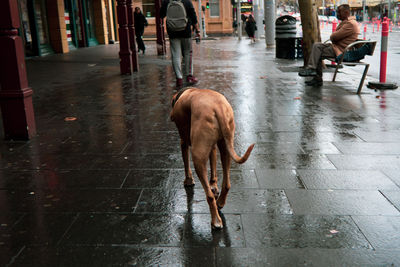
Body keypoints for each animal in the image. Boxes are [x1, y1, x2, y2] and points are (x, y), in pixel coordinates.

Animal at [170, 88, 255, 230]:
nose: (170, 116)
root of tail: (218, 107)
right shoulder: (212, 147)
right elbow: (213, 167)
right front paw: (213, 185)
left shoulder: (184, 141)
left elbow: (186, 164)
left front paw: (188, 180)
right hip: (226, 145)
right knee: (226, 183)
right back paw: (220, 201)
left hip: (197, 156)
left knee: (209, 196)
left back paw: (215, 220)